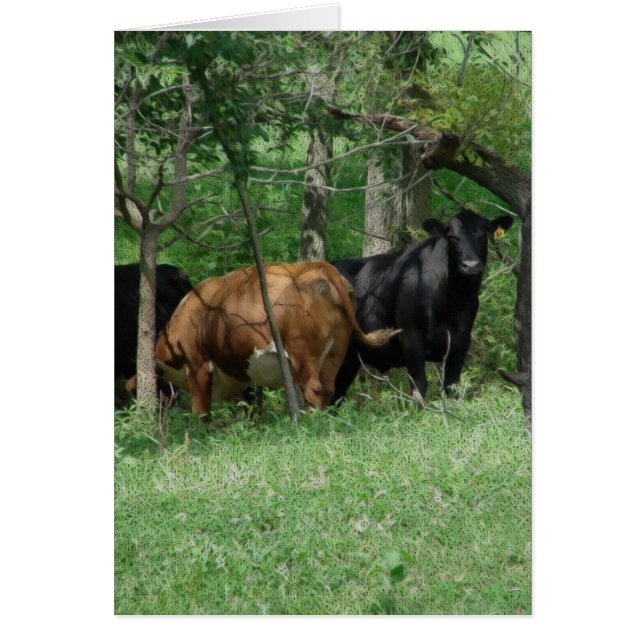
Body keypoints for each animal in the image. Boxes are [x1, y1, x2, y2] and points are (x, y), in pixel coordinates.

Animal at [155, 261, 400, 415]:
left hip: (303, 355)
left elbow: (201, 410)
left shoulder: (197, 365)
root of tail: (317, 267)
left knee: (313, 389)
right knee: (329, 388)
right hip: (335, 352)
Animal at [330, 209, 515, 405]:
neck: (452, 301)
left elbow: (452, 386)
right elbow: (419, 386)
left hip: (349, 359)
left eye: (483, 234)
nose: (470, 265)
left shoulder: (461, 338)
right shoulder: (411, 336)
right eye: (452, 236)